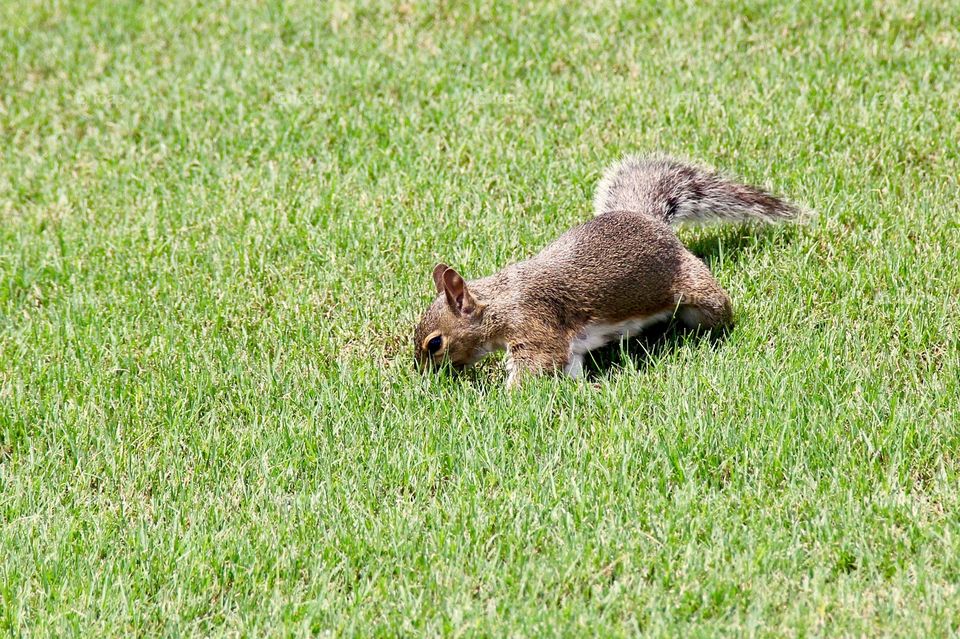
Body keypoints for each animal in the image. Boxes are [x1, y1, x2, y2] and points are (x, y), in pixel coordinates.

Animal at [414, 155, 801, 387]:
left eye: (435, 343)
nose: (422, 373)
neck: (498, 301)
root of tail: (648, 219)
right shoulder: (568, 347)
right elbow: (570, 367)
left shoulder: (534, 325)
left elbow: (536, 365)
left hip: (696, 290)